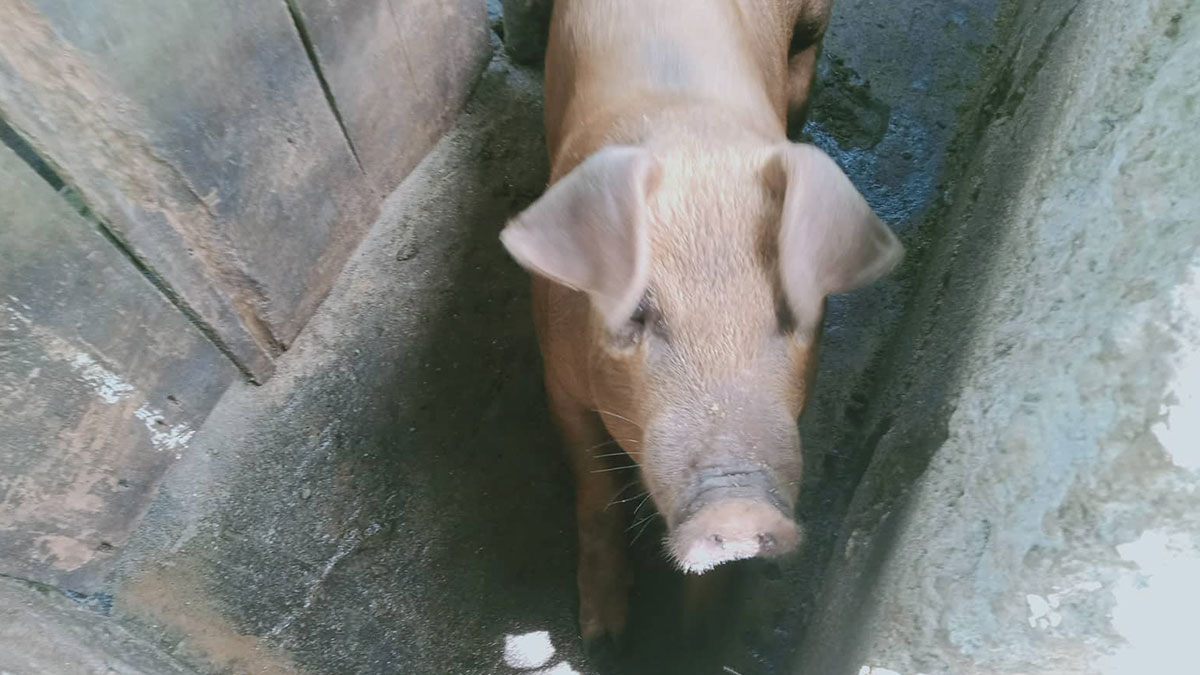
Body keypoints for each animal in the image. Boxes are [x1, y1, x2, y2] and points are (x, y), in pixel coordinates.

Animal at [496, 0, 902, 643]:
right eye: (638, 313)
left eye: (790, 309)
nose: (738, 506)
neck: (694, 141)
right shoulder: (556, 376)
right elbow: (596, 489)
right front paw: (604, 635)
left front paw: (697, 638)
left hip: (811, 25)